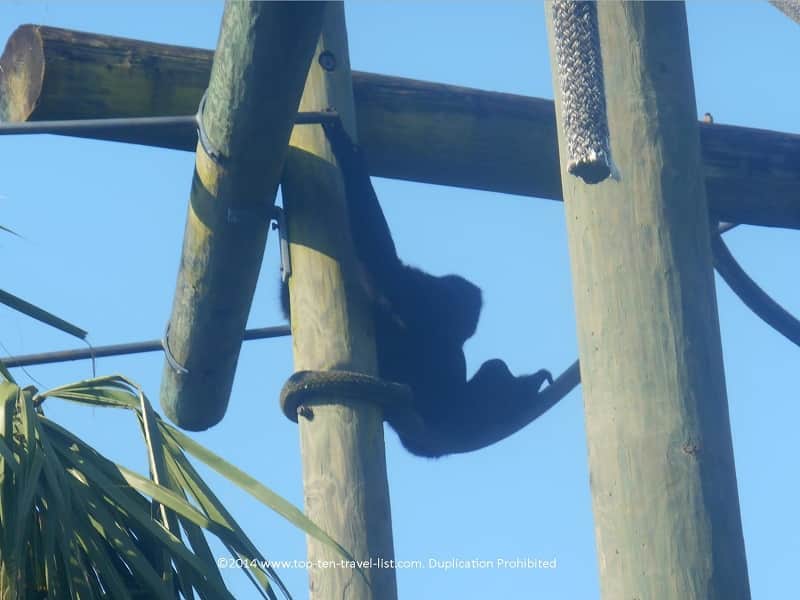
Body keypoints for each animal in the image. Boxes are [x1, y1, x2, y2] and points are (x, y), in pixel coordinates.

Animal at [281, 119, 555, 458]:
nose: (469, 325)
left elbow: (379, 262)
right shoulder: (415, 292)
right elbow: (381, 257)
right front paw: (345, 148)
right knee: (491, 371)